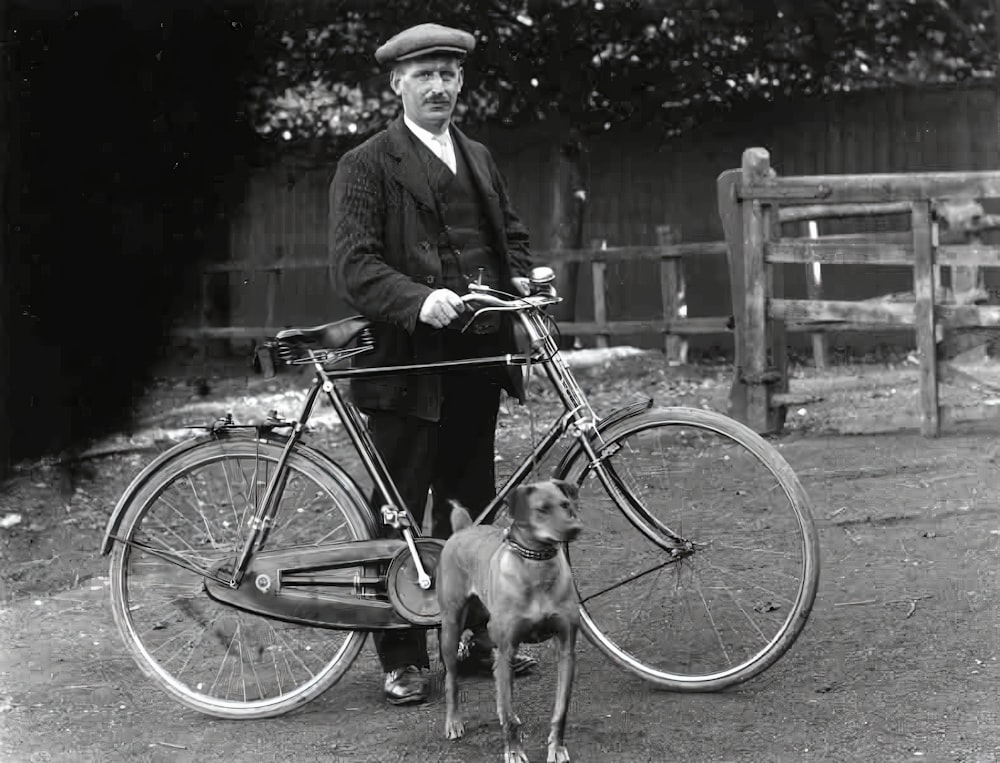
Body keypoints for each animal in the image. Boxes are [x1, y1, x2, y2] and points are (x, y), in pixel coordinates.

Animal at [440, 480, 584, 760]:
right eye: (542, 509)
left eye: (565, 504)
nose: (574, 528)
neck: (537, 568)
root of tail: (464, 530)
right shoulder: (506, 652)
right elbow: (507, 715)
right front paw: (514, 752)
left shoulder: (566, 651)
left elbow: (560, 710)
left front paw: (557, 748)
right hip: (451, 629)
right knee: (451, 679)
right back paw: (453, 721)